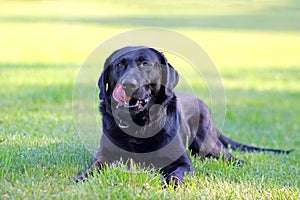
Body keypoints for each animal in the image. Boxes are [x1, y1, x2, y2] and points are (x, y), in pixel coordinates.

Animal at [74, 46, 290, 187]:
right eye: (119, 65)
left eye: (145, 63)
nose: (128, 84)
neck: (139, 126)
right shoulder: (104, 157)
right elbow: (93, 168)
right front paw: (80, 179)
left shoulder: (182, 162)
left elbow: (177, 174)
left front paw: (171, 184)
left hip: (206, 144)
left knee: (227, 155)